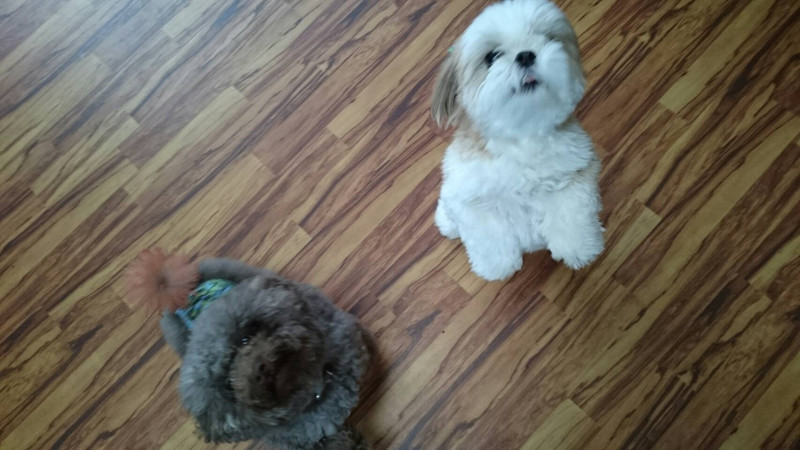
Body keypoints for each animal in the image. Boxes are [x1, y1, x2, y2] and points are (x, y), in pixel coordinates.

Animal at [432, 0, 604, 280]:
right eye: (491, 57)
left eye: (549, 39)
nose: (525, 55)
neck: (521, 135)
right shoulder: (470, 199)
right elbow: (488, 234)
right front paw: (496, 266)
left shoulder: (577, 170)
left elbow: (572, 211)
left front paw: (579, 247)